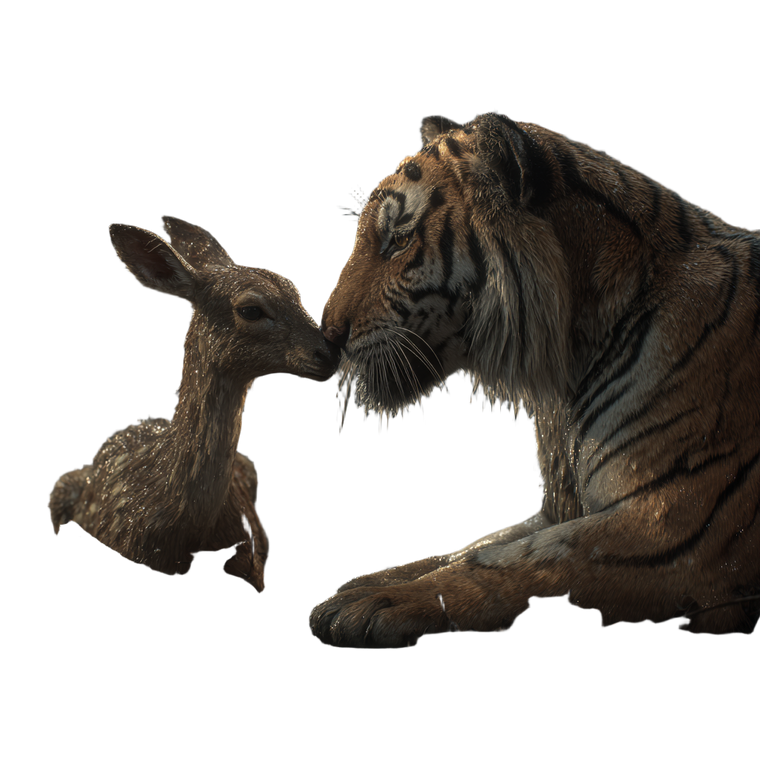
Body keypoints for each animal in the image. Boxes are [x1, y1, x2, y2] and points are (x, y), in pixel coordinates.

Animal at [308, 111, 760, 647]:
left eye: (398, 240)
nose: (328, 333)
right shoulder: (561, 511)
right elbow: (476, 545)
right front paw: (365, 584)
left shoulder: (678, 528)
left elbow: (519, 561)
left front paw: (382, 602)